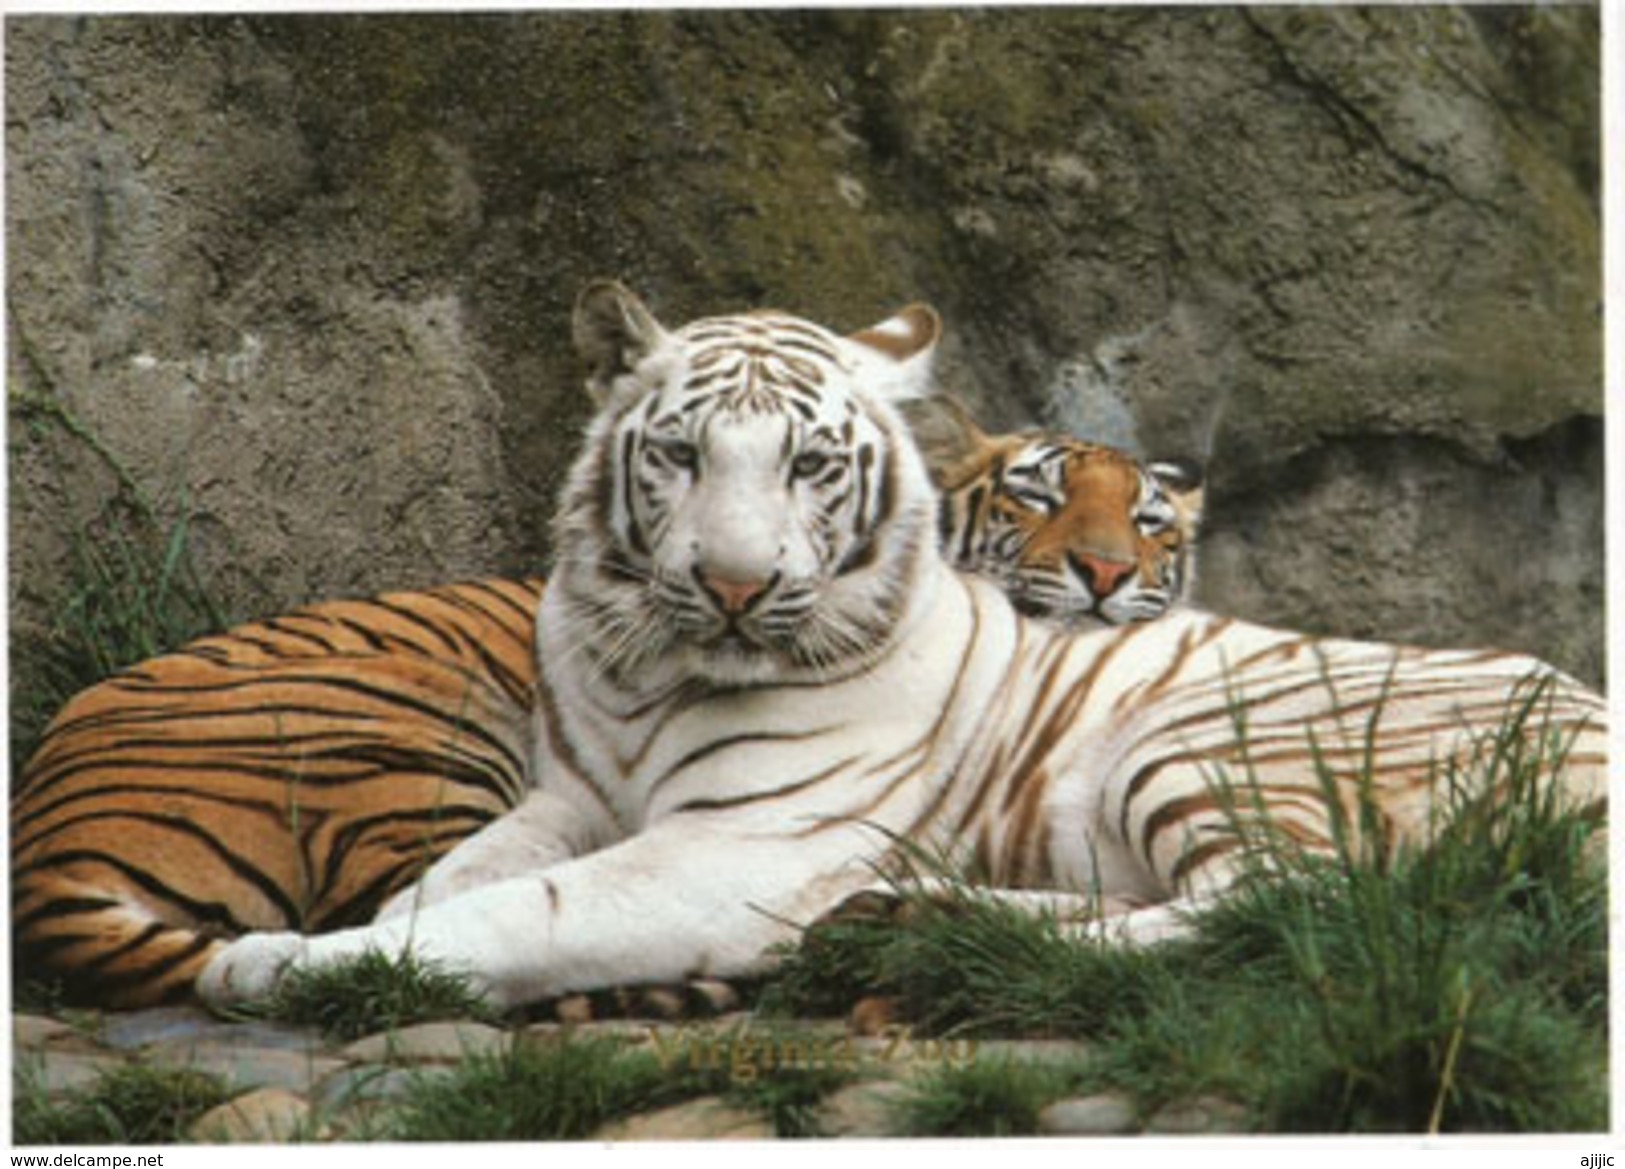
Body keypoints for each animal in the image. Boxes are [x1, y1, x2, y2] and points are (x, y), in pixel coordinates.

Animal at [196, 286, 1605, 1014]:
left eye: (812, 464)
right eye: (679, 452)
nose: (732, 584)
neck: (648, 671)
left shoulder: (733, 846)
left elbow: (506, 912)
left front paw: (270, 961)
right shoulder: (569, 794)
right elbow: (451, 874)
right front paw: (363, 925)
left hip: (1198, 739)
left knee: (1296, 899)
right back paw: (903, 915)